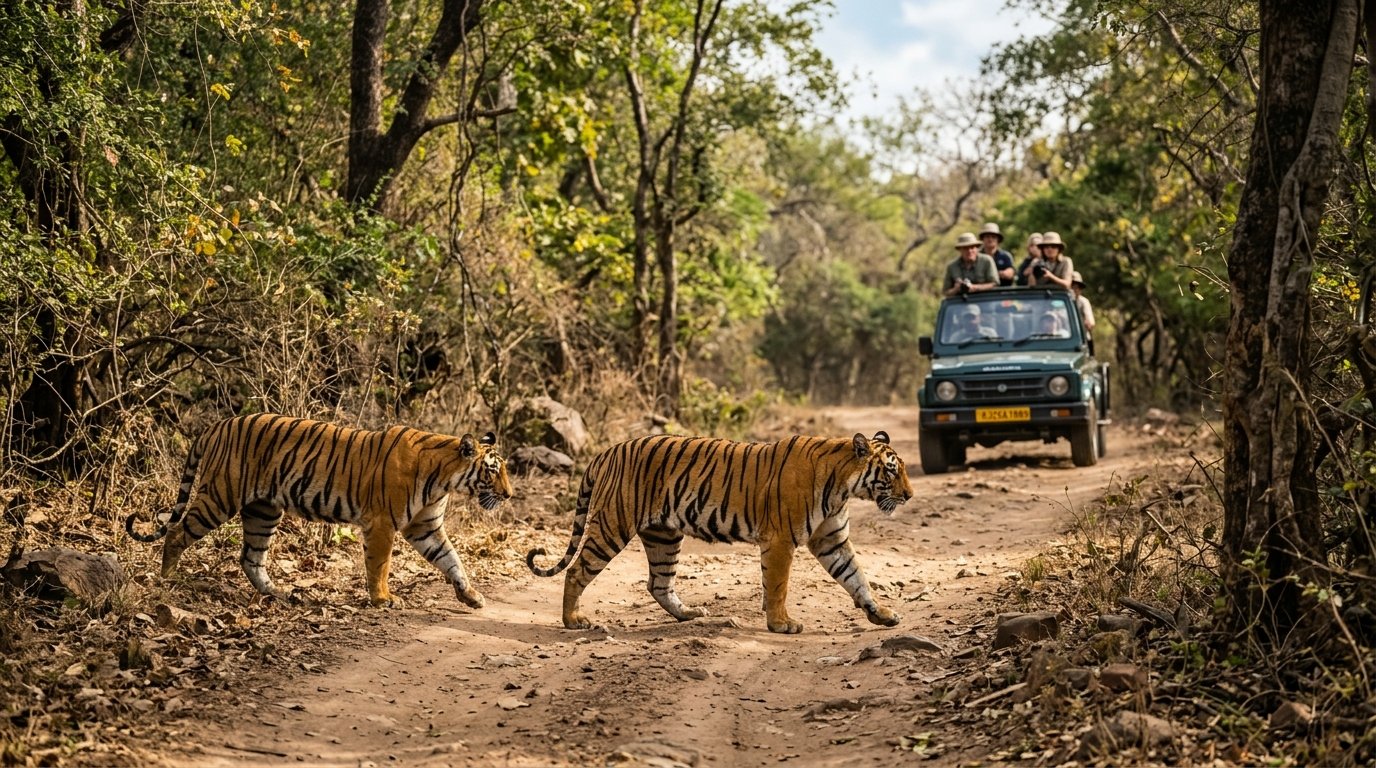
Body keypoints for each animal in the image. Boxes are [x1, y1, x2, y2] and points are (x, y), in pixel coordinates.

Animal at [125, 413, 512, 608]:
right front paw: (383, 599)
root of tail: (216, 425)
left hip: (264, 510)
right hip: (220, 496)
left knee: (251, 557)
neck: (445, 479)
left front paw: (471, 596)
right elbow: (380, 565)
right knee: (177, 533)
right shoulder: (382, 524)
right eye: (493, 470)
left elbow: (452, 560)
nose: (509, 495)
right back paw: (168, 579)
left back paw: (278, 594)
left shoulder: (426, 526)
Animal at [526, 431, 912, 634]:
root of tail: (607, 451)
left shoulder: (832, 540)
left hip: (664, 535)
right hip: (612, 524)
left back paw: (689, 614)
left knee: (658, 584)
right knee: (578, 569)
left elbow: (856, 577)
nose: (909, 495)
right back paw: (573, 620)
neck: (843, 487)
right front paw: (781, 624)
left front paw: (881, 614)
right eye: (891, 471)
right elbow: (778, 586)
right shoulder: (780, 540)